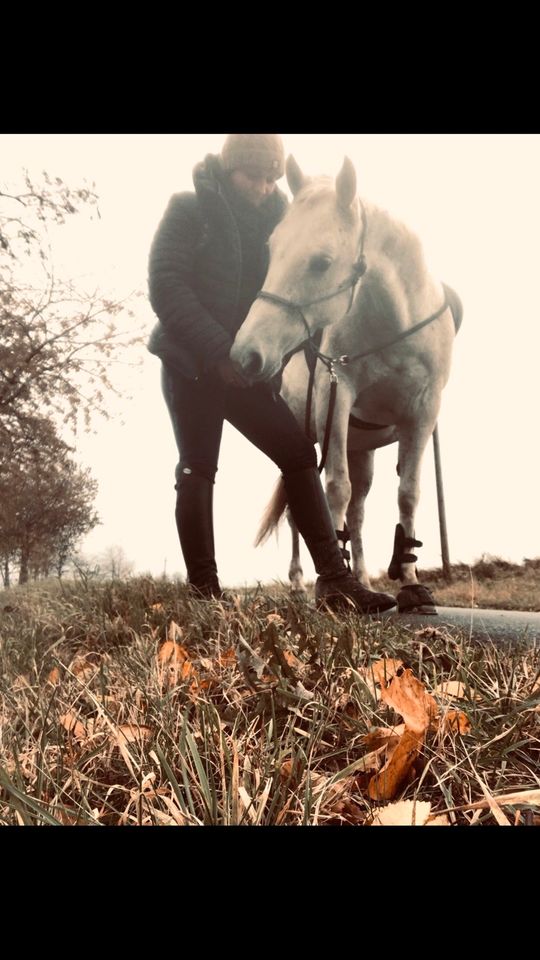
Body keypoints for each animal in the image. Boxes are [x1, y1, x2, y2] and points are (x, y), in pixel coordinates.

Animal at [230, 154, 462, 612]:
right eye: (272, 250)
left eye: (321, 262)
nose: (247, 354)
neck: (394, 326)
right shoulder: (337, 401)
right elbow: (334, 489)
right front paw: (334, 589)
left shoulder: (422, 415)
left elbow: (408, 493)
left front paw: (409, 582)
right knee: (304, 512)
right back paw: (300, 583)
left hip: (364, 450)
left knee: (358, 511)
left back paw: (363, 575)